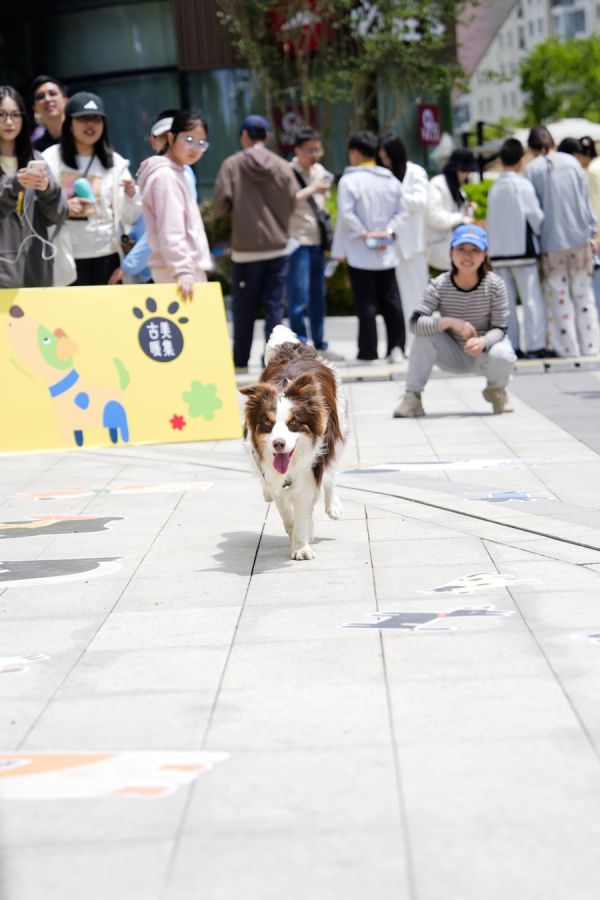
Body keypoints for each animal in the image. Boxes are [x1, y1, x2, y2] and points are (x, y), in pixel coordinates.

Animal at [240, 326, 347, 560]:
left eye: (294, 423)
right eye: (267, 423)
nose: (278, 444)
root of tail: (293, 347)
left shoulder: (310, 467)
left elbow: (305, 503)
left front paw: (301, 546)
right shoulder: (272, 473)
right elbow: (284, 507)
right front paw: (295, 534)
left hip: (339, 429)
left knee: (331, 471)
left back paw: (333, 506)